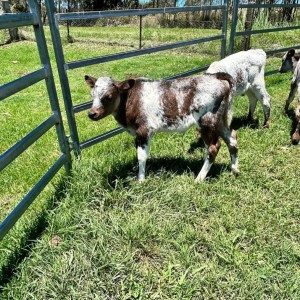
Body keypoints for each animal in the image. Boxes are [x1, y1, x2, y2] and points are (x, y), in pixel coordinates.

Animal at [85, 73, 239, 180]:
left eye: (108, 96)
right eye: (92, 95)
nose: (92, 113)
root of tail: (216, 76)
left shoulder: (144, 129)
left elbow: (141, 156)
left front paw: (141, 180)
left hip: (207, 121)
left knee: (214, 147)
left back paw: (199, 178)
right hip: (221, 120)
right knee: (232, 138)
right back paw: (235, 170)